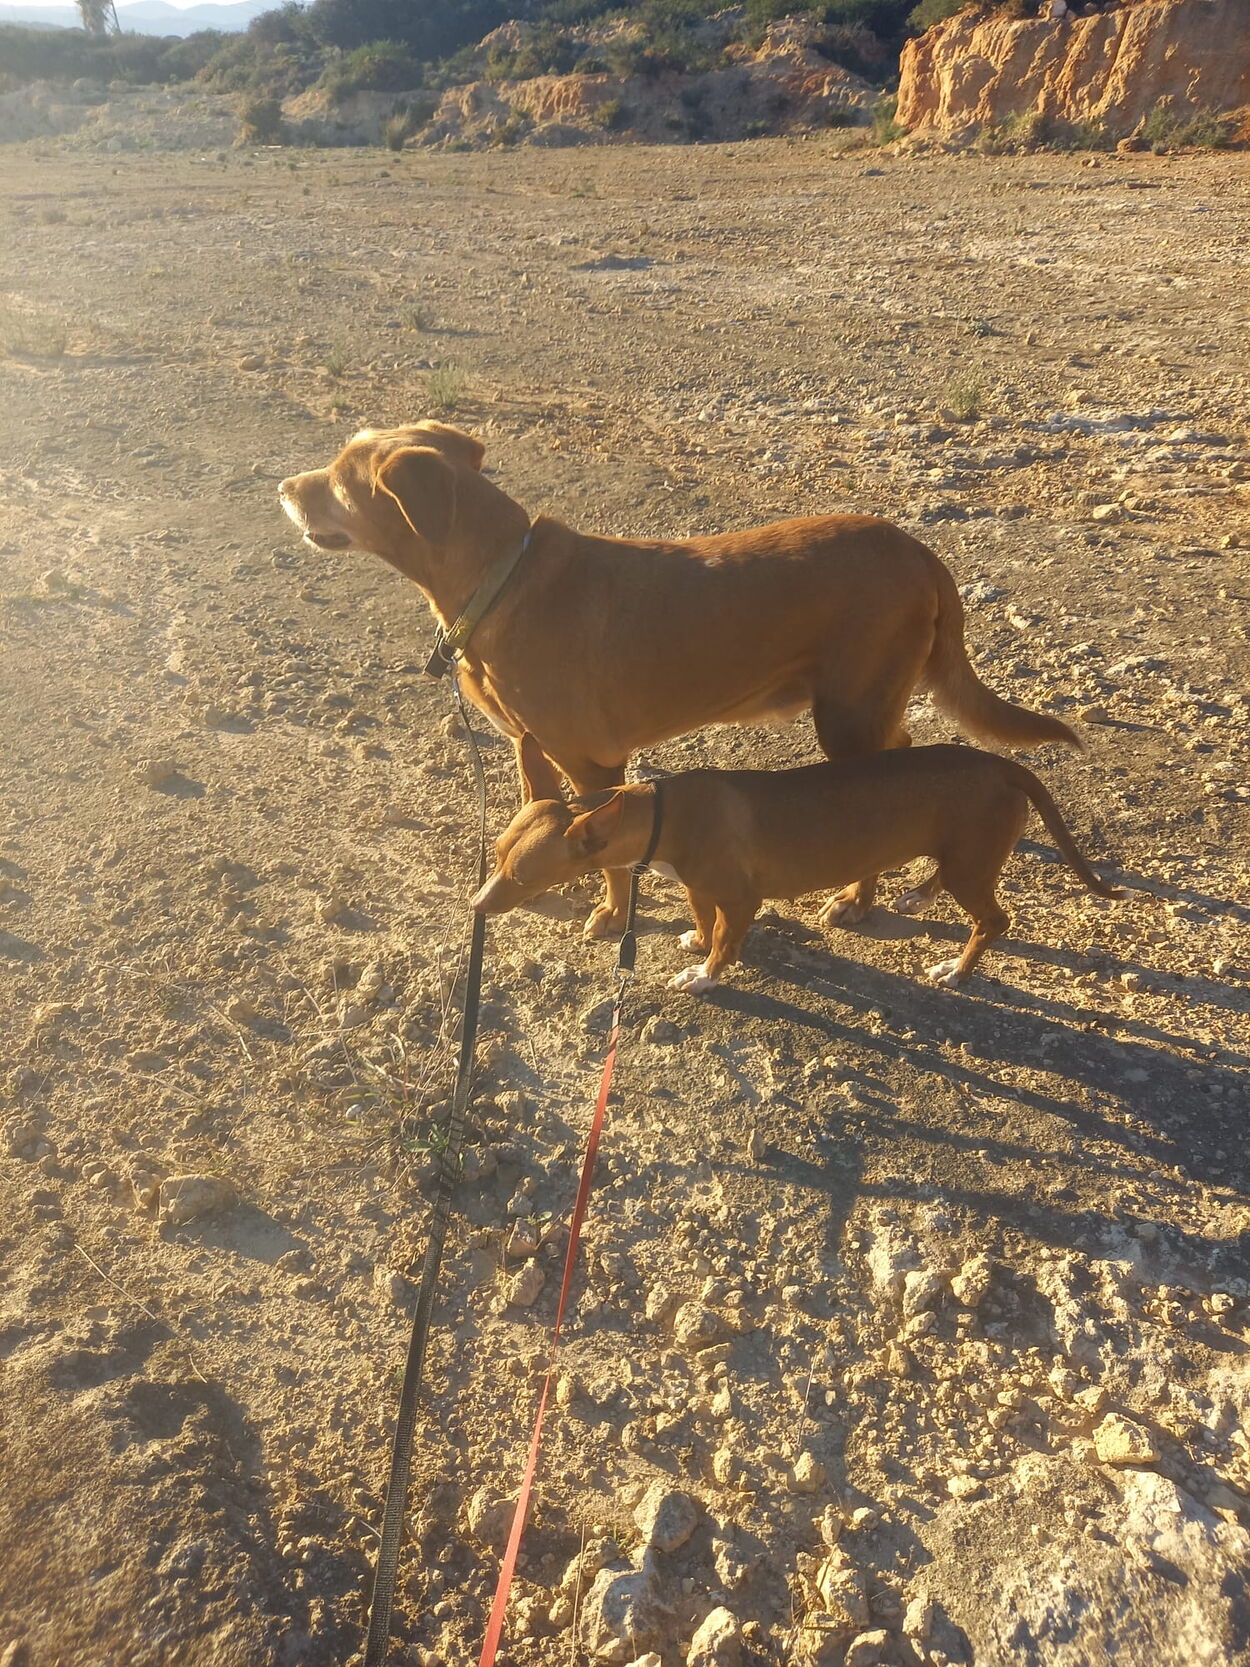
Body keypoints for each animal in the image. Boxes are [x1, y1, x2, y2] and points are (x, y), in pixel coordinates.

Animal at [279, 420, 1079, 938]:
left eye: (341, 478)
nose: (283, 484)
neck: (499, 578)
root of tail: (922, 553)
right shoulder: (528, 745)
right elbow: (539, 810)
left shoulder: (594, 763)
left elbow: (607, 856)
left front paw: (609, 914)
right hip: (866, 700)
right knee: (906, 748)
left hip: (846, 713)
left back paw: (856, 898)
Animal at [472, 734, 1121, 993]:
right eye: (496, 857)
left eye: (522, 876)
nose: (474, 905)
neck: (660, 813)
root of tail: (1005, 766)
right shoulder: (701, 888)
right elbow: (703, 921)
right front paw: (694, 942)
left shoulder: (743, 900)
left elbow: (725, 943)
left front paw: (705, 976)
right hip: (962, 856)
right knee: (950, 881)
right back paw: (917, 895)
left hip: (972, 865)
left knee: (993, 921)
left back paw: (956, 972)